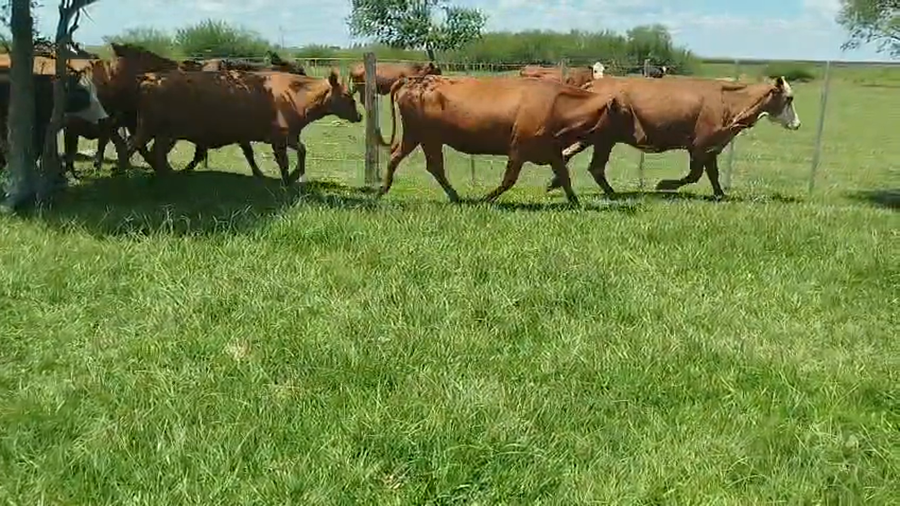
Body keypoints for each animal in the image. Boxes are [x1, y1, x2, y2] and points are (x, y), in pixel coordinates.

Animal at [124, 69, 362, 185]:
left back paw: (164, 174)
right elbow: (285, 160)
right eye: (347, 95)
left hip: (161, 132)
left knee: (151, 151)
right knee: (133, 147)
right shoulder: (280, 137)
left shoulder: (285, 136)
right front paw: (287, 179)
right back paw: (125, 173)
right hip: (152, 128)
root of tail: (150, 78)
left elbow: (298, 152)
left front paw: (282, 176)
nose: (359, 116)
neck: (294, 95)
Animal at [374, 75, 620, 205]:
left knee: (423, 164)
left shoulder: (552, 152)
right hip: (421, 136)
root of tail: (413, 80)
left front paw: (575, 203)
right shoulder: (518, 149)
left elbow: (565, 177)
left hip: (423, 138)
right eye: (622, 112)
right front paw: (485, 199)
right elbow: (508, 180)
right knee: (412, 161)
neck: (557, 105)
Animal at [547, 76, 801, 199]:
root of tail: (595, 82)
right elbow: (695, 174)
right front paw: (664, 185)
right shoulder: (700, 146)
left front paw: (720, 194)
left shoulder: (711, 148)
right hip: (602, 139)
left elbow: (713, 174)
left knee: (580, 160)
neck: (728, 101)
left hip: (598, 139)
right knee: (593, 166)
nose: (797, 124)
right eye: (788, 98)